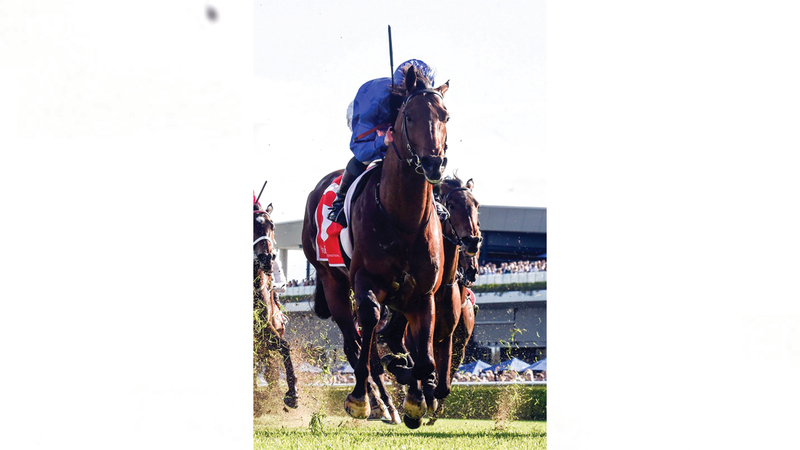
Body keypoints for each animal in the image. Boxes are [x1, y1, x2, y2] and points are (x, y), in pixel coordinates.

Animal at [302, 66, 450, 428]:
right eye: (409, 116)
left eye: (446, 116)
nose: (434, 164)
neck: (403, 218)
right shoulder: (367, 281)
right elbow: (370, 323)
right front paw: (360, 398)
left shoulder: (422, 294)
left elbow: (424, 357)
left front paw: (416, 398)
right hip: (332, 281)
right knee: (354, 343)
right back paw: (374, 402)